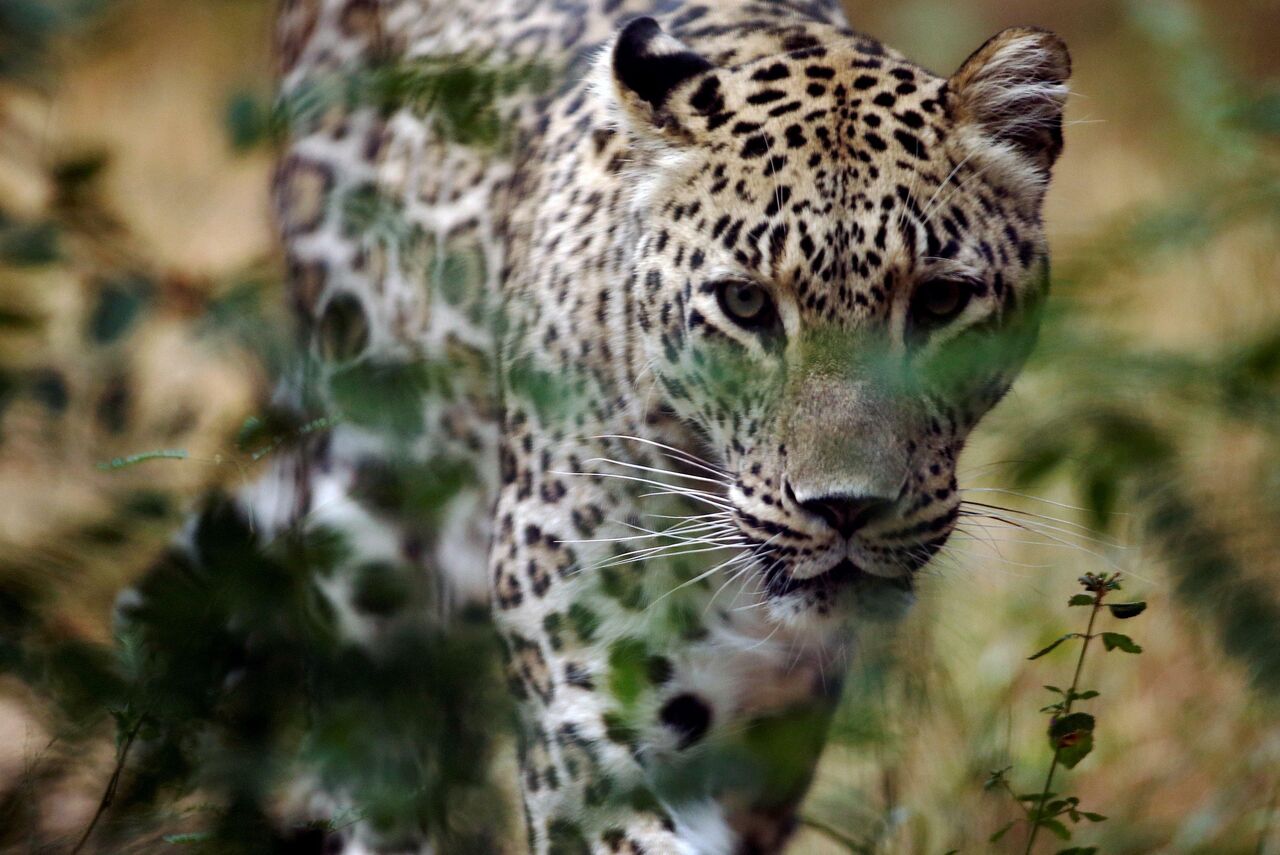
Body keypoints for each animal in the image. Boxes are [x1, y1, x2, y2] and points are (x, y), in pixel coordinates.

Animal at [127, 1, 1070, 855]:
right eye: (745, 304)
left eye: (940, 301)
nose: (844, 508)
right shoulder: (586, 720)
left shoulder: (763, 749)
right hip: (369, 528)